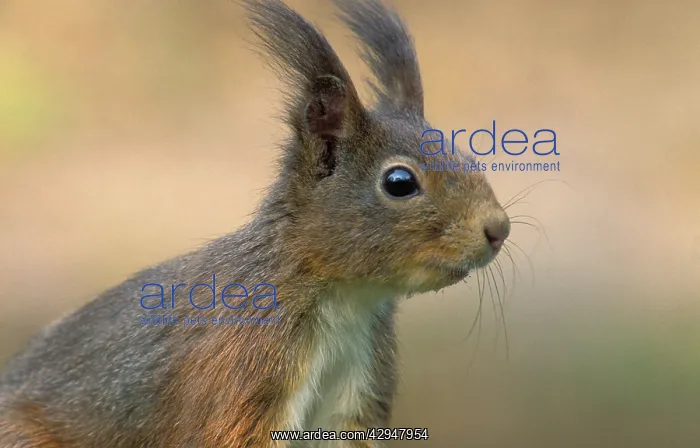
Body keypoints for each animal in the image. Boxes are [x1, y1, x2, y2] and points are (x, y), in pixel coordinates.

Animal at [0, 0, 511, 446]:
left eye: (466, 154)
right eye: (400, 182)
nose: (499, 230)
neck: (345, 299)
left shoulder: (357, 395)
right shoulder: (241, 367)